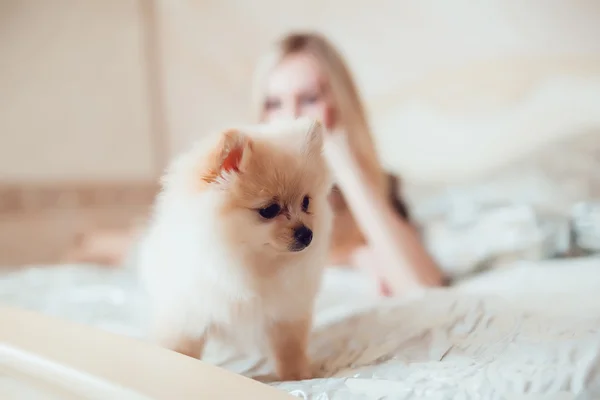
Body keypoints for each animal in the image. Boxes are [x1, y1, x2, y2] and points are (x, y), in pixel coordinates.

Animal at [138, 117, 332, 380]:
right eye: (269, 210)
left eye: (306, 202)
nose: (307, 233)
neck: (251, 263)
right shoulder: (189, 314)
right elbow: (182, 349)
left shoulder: (287, 311)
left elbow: (289, 347)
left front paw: (298, 375)